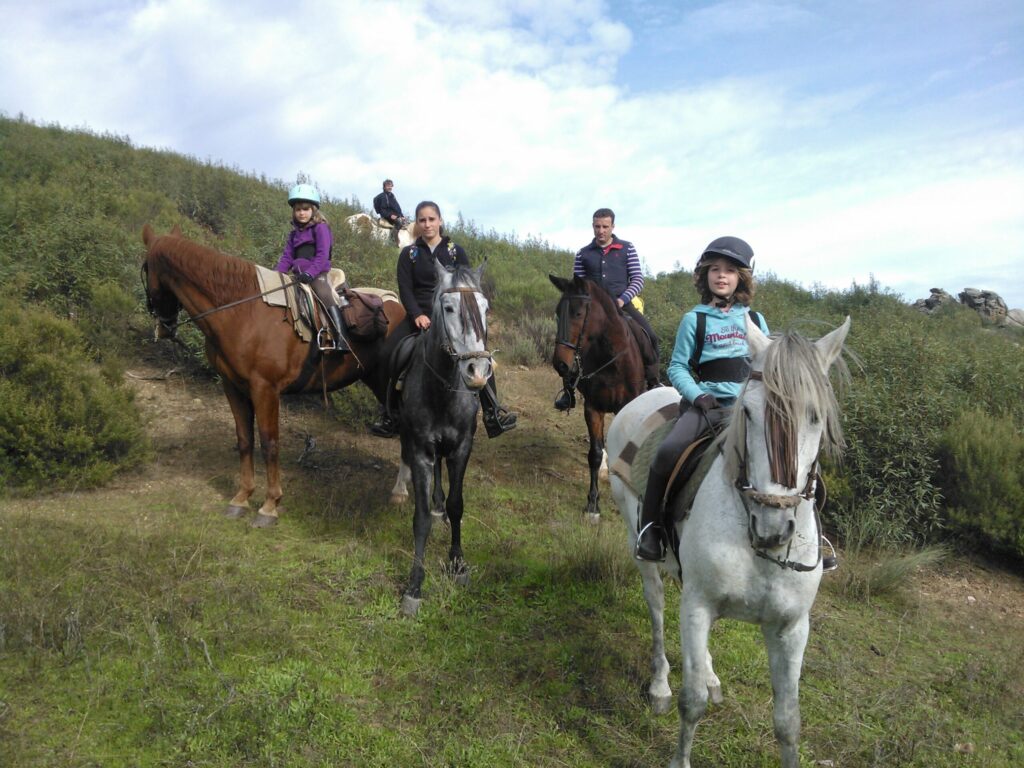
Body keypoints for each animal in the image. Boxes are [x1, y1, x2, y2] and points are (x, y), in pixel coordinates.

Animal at [140, 224, 403, 528]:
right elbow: (245, 440)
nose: (164, 328)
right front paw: (241, 498)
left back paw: (404, 495)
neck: (241, 312)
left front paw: (269, 506)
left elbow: (269, 444)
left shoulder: (265, 389)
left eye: (146, 269)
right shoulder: (233, 386)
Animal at [397, 262, 489, 618]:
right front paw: (414, 586)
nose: (477, 371)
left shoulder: (462, 448)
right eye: (448, 308)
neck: (442, 391)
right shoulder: (421, 449)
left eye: (486, 309)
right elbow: (421, 518)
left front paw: (458, 565)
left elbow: (457, 504)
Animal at [552, 276, 647, 524]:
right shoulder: (593, 408)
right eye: (557, 312)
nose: (560, 364)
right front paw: (593, 505)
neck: (612, 360)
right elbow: (594, 453)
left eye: (577, 313)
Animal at [602, 315, 851, 765]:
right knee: (657, 606)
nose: (774, 526)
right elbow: (692, 703)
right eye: (748, 412)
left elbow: (788, 722)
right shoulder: (698, 606)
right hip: (641, 545)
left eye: (816, 416)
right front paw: (679, 755)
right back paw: (660, 683)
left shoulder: (791, 628)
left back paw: (710, 673)